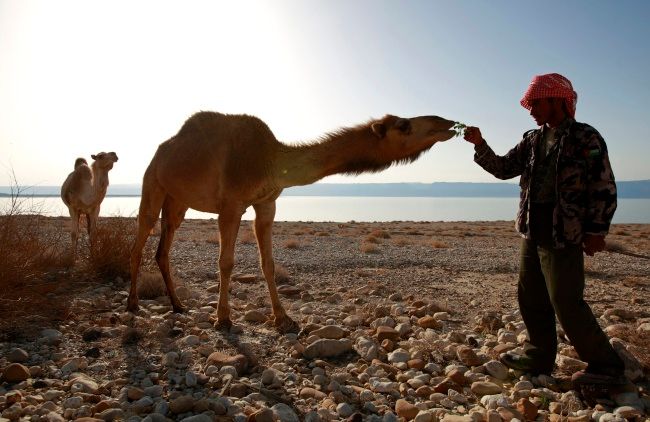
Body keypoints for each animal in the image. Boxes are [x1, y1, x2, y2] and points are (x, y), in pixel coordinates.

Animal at [125, 113, 450, 332]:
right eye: (404, 125)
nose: (444, 122)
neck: (270, 160)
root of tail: (162, 150)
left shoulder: (267, 203)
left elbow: (267, 263)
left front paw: (283, 318)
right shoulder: (231, 204)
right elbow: (226, 262)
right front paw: (223, 319)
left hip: (177, 202)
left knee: (163, 248)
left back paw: (178, 305)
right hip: (153, 183)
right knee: (140, 241)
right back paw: (132, 304)